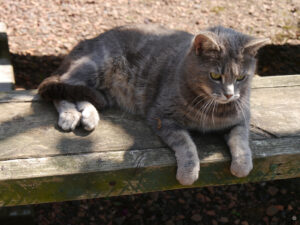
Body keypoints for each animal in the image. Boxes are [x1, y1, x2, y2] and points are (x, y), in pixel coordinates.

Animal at [37, 25, 270, 186]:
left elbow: (241, 140)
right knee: (57, 87)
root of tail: (88, 40)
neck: (211, 108)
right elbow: (186, 144)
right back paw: (70, 115)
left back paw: (88, 116)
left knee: (82, 93)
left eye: (241, 77)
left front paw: (242, 166)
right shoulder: (162, 117)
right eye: (215, 76)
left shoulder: (240, 117)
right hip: (95, 67)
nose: (229, 94)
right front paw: (188, 173)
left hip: (104, 88)